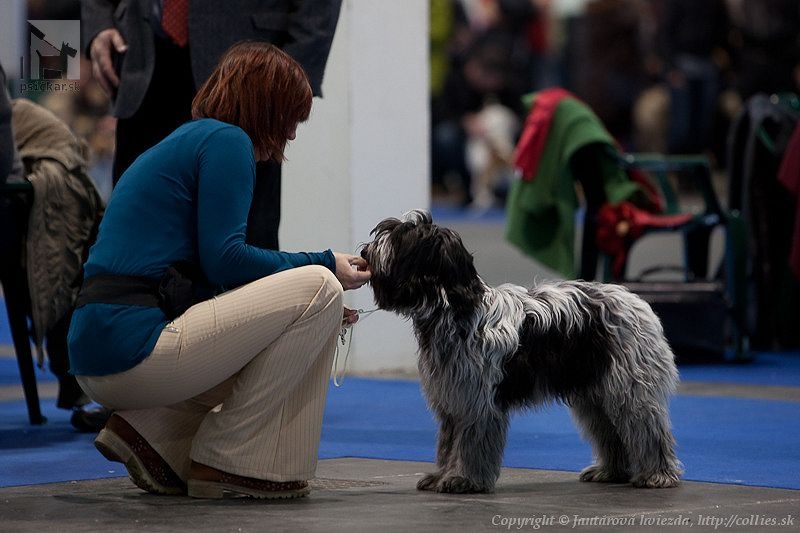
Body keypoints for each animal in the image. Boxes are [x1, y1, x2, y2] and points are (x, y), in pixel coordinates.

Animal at [360, 210, 680, 492]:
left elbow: (470, 444)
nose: (364, 253)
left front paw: (463, 479)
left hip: (630, 389)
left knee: (647, 430)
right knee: (611, 432)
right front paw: (441, 476)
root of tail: (636, 300)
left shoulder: (477, 403)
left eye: (401, 238)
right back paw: (611, 471)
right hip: (595, 392)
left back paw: (658, 474)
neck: (456, 310)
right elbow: (448, 445)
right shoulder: (453, 401)